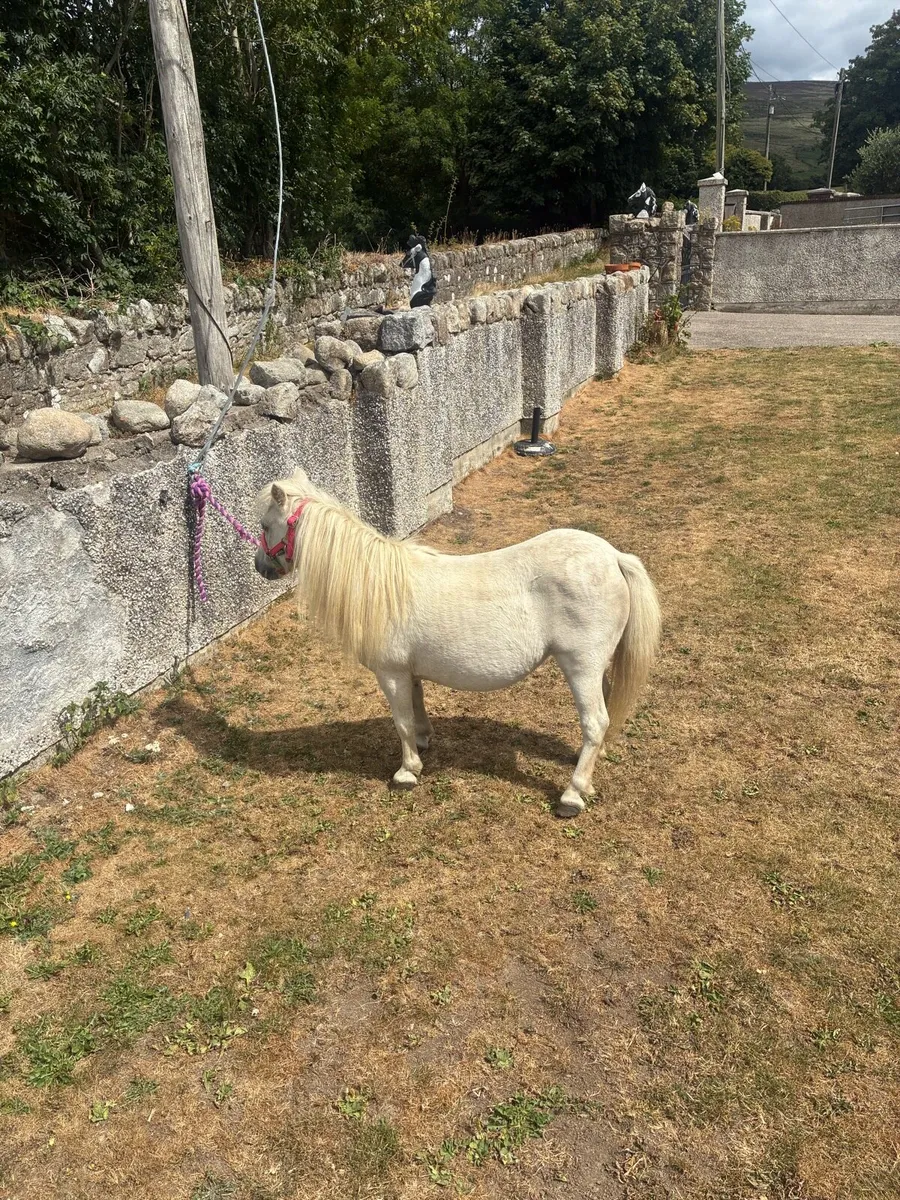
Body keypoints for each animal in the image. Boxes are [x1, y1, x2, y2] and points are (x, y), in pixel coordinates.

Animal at [254, 470, 661, 817]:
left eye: (264, 525)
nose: (261, 567)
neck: (379, 583)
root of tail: (614, 557)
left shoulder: (390, 673)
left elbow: (400, 720)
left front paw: (407, 772)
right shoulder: (409, 672)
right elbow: (416, 710)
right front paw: (423, 743)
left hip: (581, 665)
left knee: (595, 721)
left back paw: (572, 795)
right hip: (596, 665)